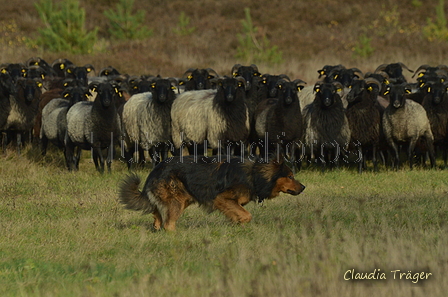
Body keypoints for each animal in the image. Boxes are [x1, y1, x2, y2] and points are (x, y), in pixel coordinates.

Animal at [118, 154, 304, 230]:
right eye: (290, 176)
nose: (303, 187)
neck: (255, 174)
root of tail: (156, 169)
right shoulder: (221, 198)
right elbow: (246, 215)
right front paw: (241, 223)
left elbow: (239, 214)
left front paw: (237, 226)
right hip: (177, 200)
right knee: (168, 223)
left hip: (181, 198)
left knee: (157, 212)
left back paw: (157, 226)